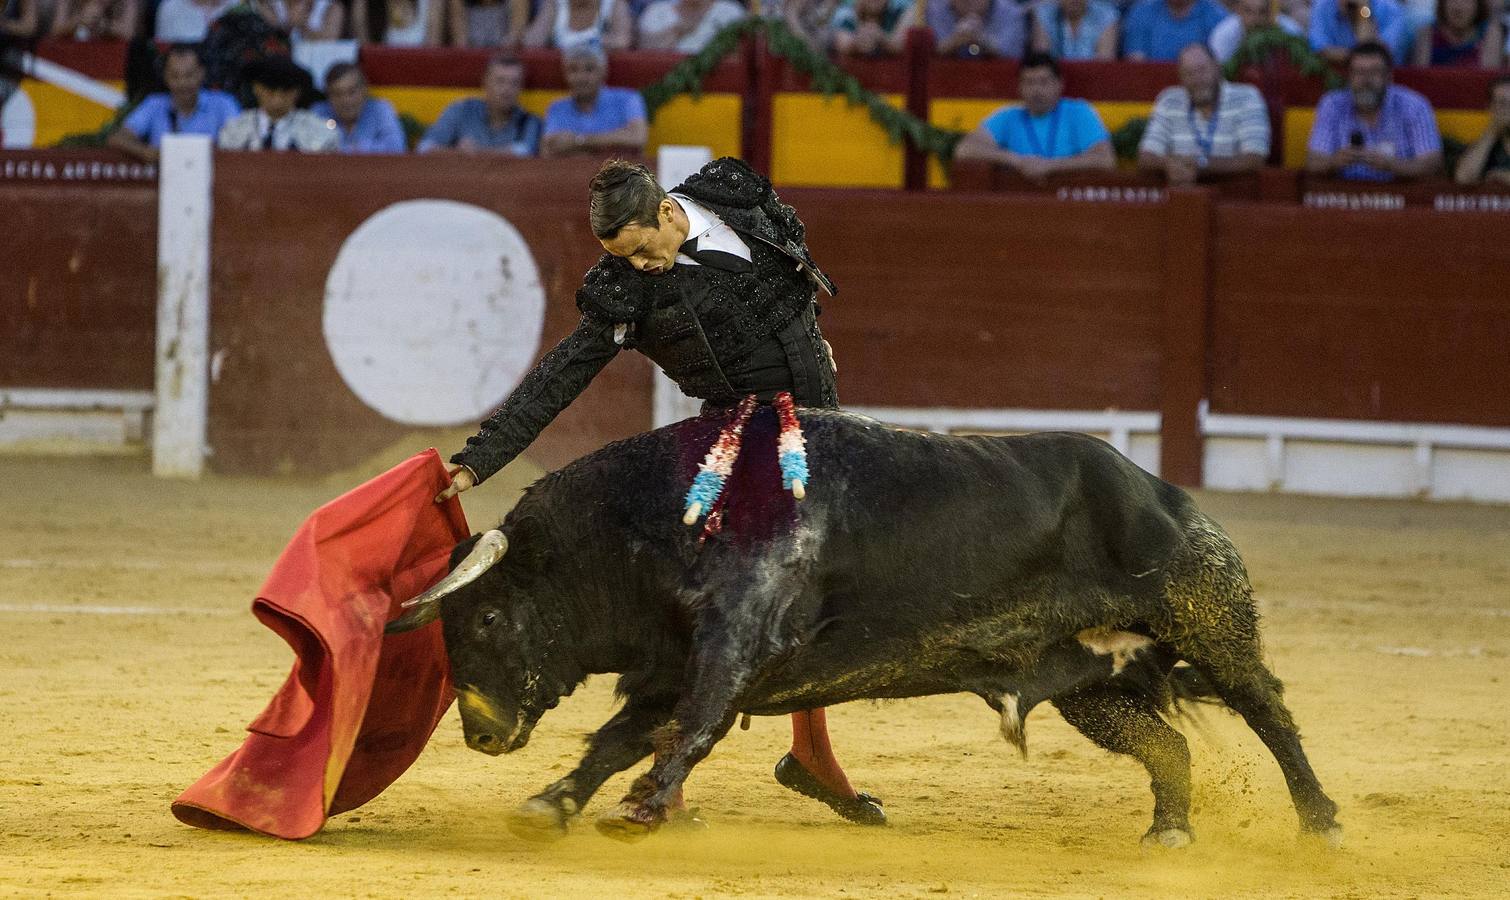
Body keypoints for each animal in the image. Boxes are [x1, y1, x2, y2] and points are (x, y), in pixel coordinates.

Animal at [389, 410, 1346, 845]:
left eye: (488, 614)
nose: (479, 733)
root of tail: (1167, 495)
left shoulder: (730, 646)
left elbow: (685, 730)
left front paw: (641, 812)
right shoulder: (673, 662)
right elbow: (623, 736)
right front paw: (552, 804)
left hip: (1207, 620)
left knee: (1269, 711)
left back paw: (1320, 822)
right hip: (1087, 681)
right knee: (1166, 744)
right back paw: (1168, 832)